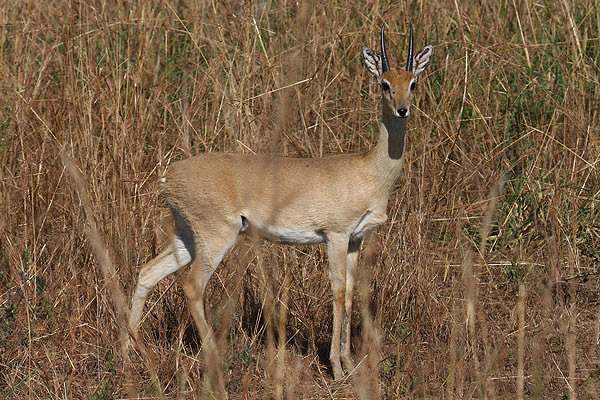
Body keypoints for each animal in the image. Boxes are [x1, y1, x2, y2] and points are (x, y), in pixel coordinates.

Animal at [130, 23, 432, 380]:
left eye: (413, 82)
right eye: (384, 83)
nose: (402, 109)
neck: (368, 170)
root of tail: (169, 175)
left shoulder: (356, 239)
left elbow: (350, 293)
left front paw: (348, 363)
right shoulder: (336, 235)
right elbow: (337, 291)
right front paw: (336, 368)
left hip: (187, 237)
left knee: (146, 272)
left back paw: (129, 353)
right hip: (217, 237)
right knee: (192, 286)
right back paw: (214, 359)